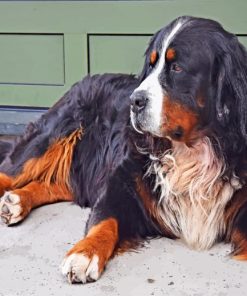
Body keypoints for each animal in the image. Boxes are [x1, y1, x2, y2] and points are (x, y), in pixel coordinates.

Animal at [0, 15, 247, 284]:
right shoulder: (122, 182)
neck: (192, 151)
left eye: (177, 68)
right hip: (51, 136)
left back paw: (17, 201)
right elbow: (105, 220)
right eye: (151, 65)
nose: (134, 101)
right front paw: (84, 254)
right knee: (12, 170)